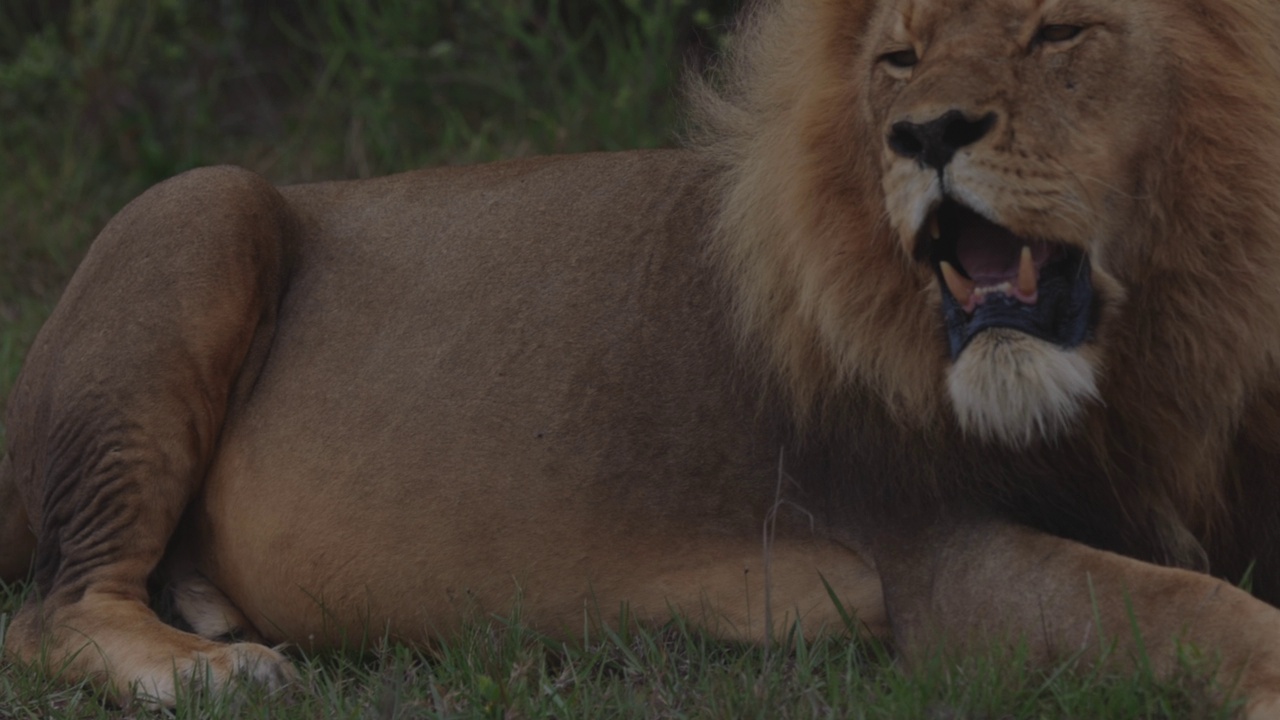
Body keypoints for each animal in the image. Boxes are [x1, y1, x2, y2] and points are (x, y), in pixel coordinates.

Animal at [2, 0, 1280, 712]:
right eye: (898, 59)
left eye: (1057, 31)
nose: (924, 136)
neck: (1141, 340)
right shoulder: (930, 555)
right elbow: (1188, 610)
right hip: (202, 204)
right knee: (54, 608)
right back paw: (209, 670)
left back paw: (209, 613)